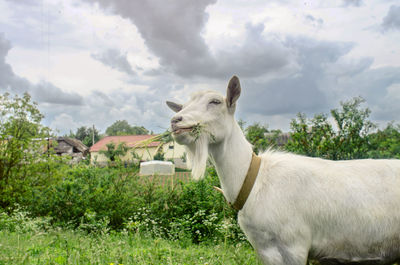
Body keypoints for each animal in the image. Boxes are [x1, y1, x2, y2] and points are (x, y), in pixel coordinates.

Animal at [166, 75, 400, 262]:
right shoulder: (263, 247)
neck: (254, 180)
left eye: (215, 101)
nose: (176, 121)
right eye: (182, 106)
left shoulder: (293, 246)